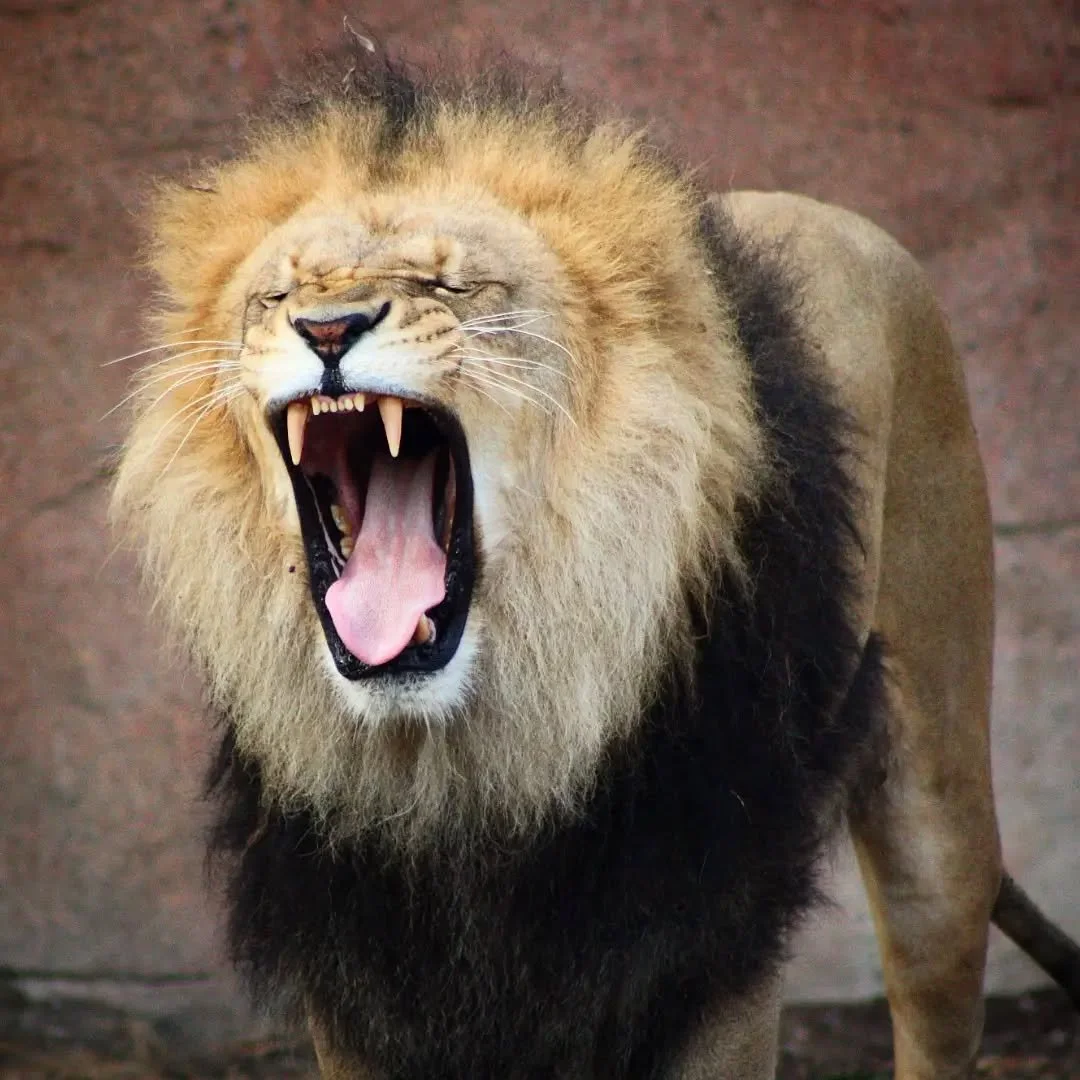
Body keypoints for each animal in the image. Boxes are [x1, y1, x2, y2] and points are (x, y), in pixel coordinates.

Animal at [111, 52, 1078, 1079]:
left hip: (939, 804)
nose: (328, 330)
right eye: (279, 296)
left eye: (452, 285)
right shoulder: (359, 958)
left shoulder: (704, 925)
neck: (461, 759)